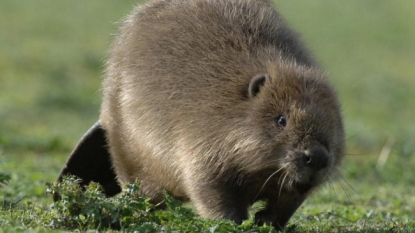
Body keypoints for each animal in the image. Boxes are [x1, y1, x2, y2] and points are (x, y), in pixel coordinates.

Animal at [57, 0, 346, 229]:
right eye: (281, 120)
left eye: (333, 126)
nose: (316, 157)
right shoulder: (202, 145)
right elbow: (209, 189)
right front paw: (236, 222)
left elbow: (288, 202)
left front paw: (265, 221)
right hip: (123, 138)